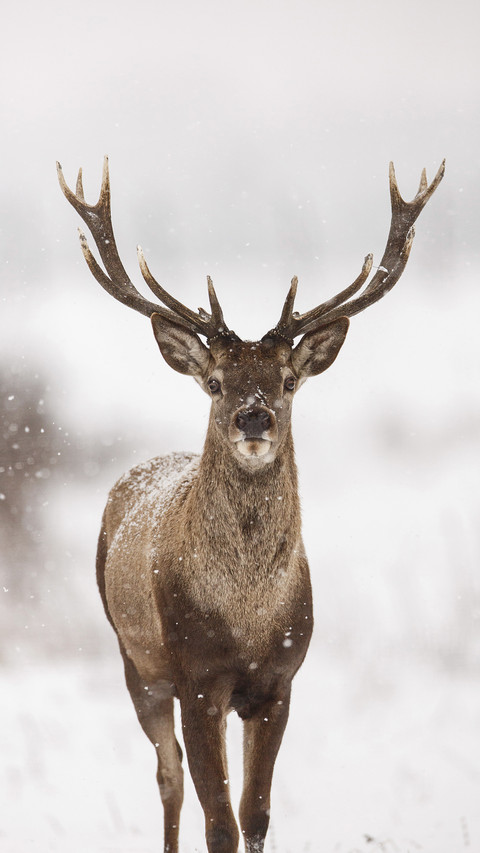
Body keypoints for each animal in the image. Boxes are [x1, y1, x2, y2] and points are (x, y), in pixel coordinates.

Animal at [57, 156, 444, 853]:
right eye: (215, 382)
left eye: (288, 380)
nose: (254, 416)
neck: (247, 617)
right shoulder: (196, 677)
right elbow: (220, 821)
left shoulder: (279, 681)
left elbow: (256, 813)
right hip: (134, 658)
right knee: (168, 775)